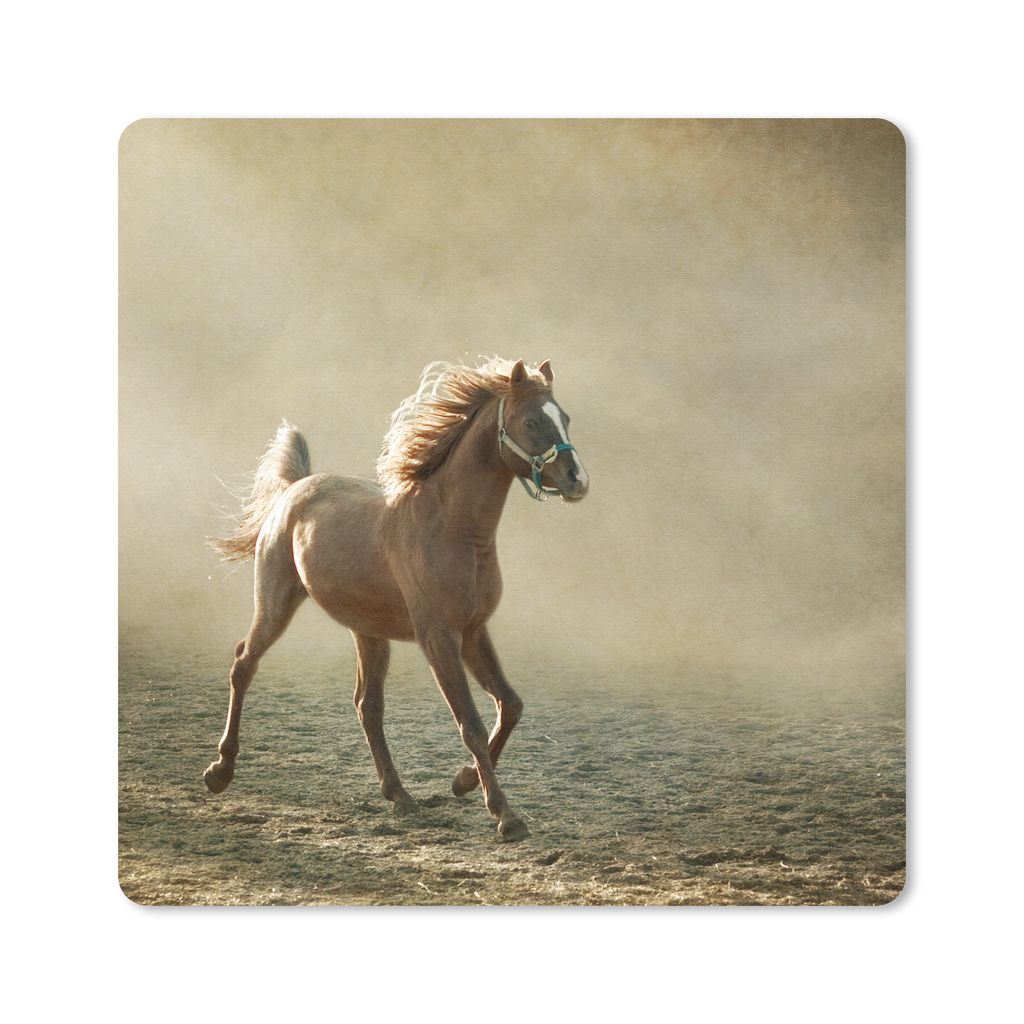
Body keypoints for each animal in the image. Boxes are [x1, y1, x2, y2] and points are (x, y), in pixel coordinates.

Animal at [205, 357, 589, 840]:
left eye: (566, 418)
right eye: (532, 421)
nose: (578, 481)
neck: (452, 529)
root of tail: (297, 487)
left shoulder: (473, 632)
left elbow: (511, 705)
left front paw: (463, 781)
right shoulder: (438, 639)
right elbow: (472, 725)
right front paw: (505, 815)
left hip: (367, 631)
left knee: (367, 706)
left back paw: (399, 794)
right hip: (276, 602)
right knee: (244, 663)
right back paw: (220, 771)